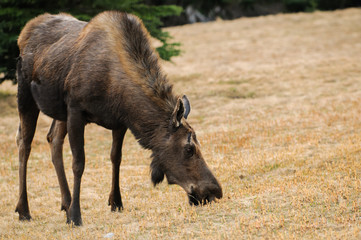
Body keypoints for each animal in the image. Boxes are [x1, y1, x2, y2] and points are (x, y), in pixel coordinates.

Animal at [15, 10, 221, 225]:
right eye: (189, 148)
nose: (214, 191)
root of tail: (24, 32)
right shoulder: (75, 110)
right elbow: (79, 163)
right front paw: (76, 216)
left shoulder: (119, 121)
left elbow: (116, 157)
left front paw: (116, 202)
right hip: (25, 94)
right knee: (24, 143)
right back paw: (25, 210)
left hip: (58, 110)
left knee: (53, 138)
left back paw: (66, 203)